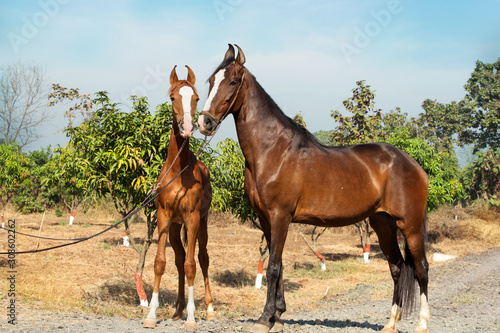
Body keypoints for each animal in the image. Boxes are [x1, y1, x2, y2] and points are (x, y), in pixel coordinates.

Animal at [144, 65, 216, 326]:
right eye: (172, 98)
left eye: (196, 98)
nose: (186, 128)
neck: (178, 171)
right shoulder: (164, 217)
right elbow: (160, 263)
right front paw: (151, 314)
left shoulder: (192, 217)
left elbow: (192, 264)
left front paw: (192, 317)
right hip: (176, 227)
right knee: (178, 259)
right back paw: (177, 309)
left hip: (202, 222)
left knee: (202, 257)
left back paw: (208, 308)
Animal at [198, 44, 430, 332]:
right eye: (210, 81)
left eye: (231, 81)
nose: (204, 123)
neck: (273, 149)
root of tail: (413, 164)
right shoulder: (266, 219)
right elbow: (279, 265)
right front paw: (278, 315)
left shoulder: (280, 216)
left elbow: (273, 267)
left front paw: (265, 318)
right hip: (383, 223)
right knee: (397, 267)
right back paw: (391, 322)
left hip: (409, 225)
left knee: (421, 268)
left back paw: (422, 322)